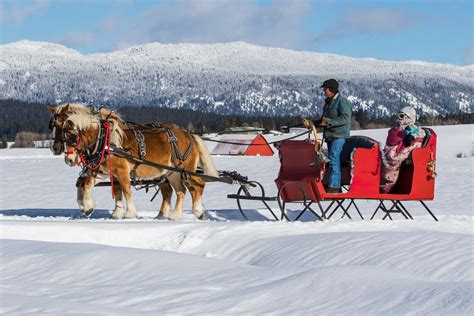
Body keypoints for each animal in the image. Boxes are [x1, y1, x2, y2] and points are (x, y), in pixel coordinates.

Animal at [62, 111, 219, 220]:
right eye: (62, 138)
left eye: (72, 137)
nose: (69, 160)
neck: (105, 140)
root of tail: (190, 135)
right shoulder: (106, 172)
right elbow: (91, 184)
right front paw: (92, 208)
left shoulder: (122, 171)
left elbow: (126, 190)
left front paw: (130, 213)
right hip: (172, 173)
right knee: (180, 191)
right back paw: (172, 215)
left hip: (185, 169)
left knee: (198, 185)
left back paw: (198, 211)